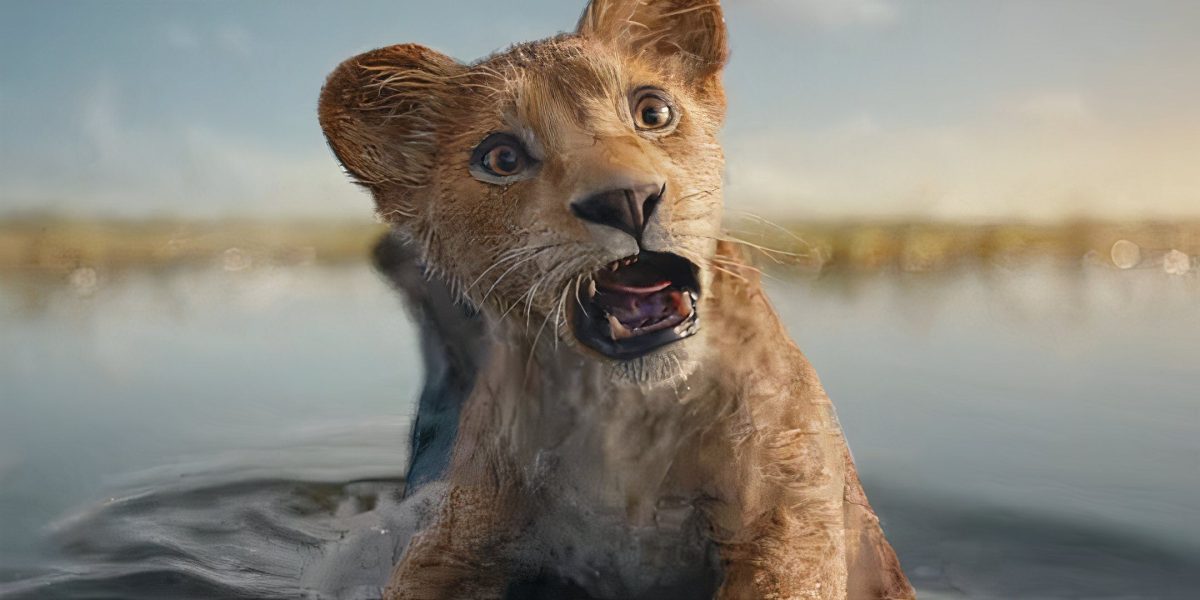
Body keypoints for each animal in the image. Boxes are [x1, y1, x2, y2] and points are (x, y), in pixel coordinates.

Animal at [319, 1, 915, 598]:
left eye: (653, 111)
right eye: (501, 158)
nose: (627, 199)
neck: (628, 417)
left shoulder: (788, 522)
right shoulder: (461, 535)